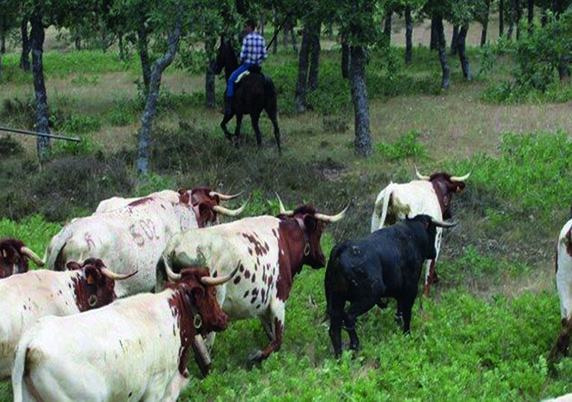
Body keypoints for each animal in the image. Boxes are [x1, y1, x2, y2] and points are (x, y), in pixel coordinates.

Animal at [158, 201, 348, 362]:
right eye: (319, 231)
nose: (322, 258)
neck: (285, 239)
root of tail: (176, 246)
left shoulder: (263, 306)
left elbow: (272, 336)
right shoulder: (278, 300)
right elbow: (277, 340)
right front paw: (257, 356)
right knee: (205, 345)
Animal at [326, 215, 456, 356]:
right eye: (434, 231)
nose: (434, 252)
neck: (412, 236)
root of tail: (342, 248)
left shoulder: (398, 291)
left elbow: (399, 311)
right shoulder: (411, 288)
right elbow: (407, 312)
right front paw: (407, 333)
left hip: (337, 299)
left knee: (334, 328)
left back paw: (339, 355)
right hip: (368, 297)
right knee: (349, 317)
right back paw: (355, 345)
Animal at [370, 166, 470, 296]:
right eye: (449, 194)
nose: (448, 214)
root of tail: (393, 190)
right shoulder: (435, 240)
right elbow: (430, 267)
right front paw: (426, 295)